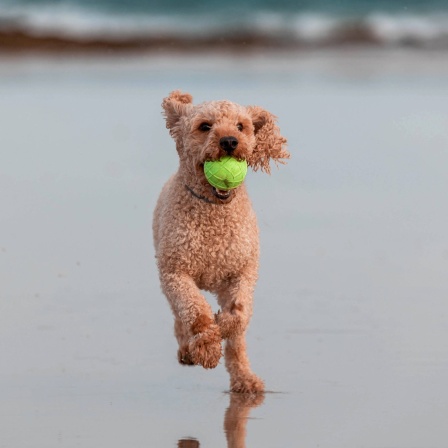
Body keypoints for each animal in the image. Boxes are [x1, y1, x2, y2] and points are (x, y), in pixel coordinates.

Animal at [152, 90, 288, 392]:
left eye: (241, 126)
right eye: (205, 126)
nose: (229, 141)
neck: (214, 211)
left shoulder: (243, 272)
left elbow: (237, 317)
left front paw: (220, 326)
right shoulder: (176, 273)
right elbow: (196, 310)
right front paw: (205, 347)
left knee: (237, 342)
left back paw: (244, 379)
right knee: (180, 317)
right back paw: (188, 349)